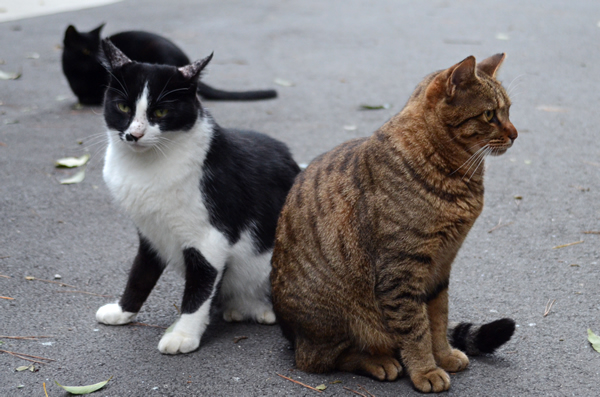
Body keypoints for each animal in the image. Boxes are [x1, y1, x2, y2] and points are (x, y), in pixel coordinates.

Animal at [96, 38, 300, 354]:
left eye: (161, 112)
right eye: (123, 106)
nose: (134, 135)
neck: (146, 168)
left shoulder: (209, 238)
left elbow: (199, 287)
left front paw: (183, 334)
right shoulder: (150, 233)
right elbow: (140, 273)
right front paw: (123, 311)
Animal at [270, 53, 516, 392]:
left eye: (508, 110)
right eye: (490, 114)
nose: (515, 133)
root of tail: (286, 331)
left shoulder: (440, 267)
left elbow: (437, 319)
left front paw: (444, 355)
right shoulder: (401, 271)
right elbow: (416, 329)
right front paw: (426, 370)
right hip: (335, 317)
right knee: (319, 359)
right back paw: (379, 361)